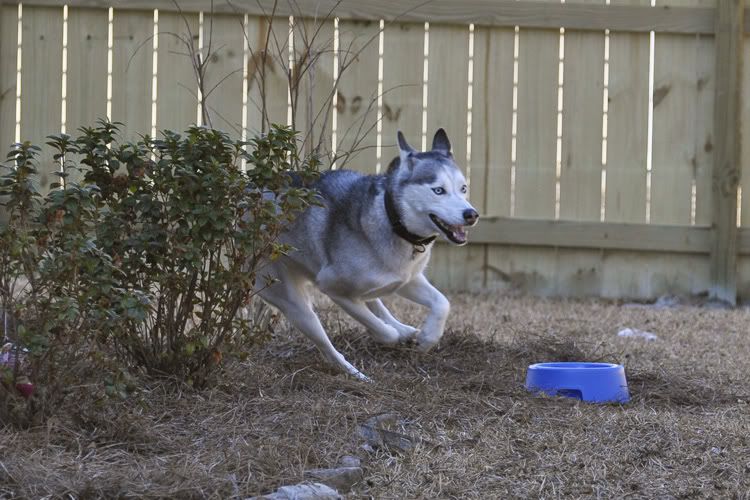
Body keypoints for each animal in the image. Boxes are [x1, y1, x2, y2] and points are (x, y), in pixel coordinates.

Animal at [258, 128, 482, 378]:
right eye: (438, 191)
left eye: (463, 188)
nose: (471, 214)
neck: (391, 219)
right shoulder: (333, 288)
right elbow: (383, 331)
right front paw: (392, 335)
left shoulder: (407, 279)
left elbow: (443, 302)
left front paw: (427, 338)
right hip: (292, 302)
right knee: (328, 345)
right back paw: (357, 374)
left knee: (373, 301)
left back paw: (405, 330)